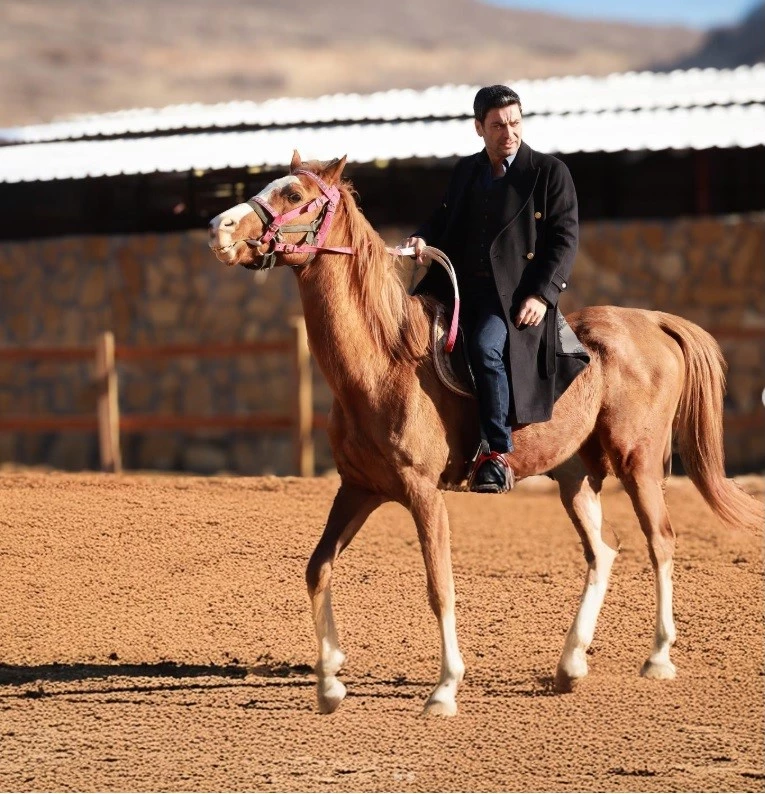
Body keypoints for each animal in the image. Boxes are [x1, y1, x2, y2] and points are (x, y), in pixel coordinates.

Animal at [207, 152, 760, 716]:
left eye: (295, 195)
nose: (218, 228)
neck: (383, 361)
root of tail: (652, 321)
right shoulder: (357, 489)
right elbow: (317, 569)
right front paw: (329, 683)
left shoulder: (423, 493)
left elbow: (439, 587)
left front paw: (444, 688)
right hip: (575, 477)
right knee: (602, 552)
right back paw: (571, 665)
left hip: (638, 463)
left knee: (660, 542)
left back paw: (658, 658)